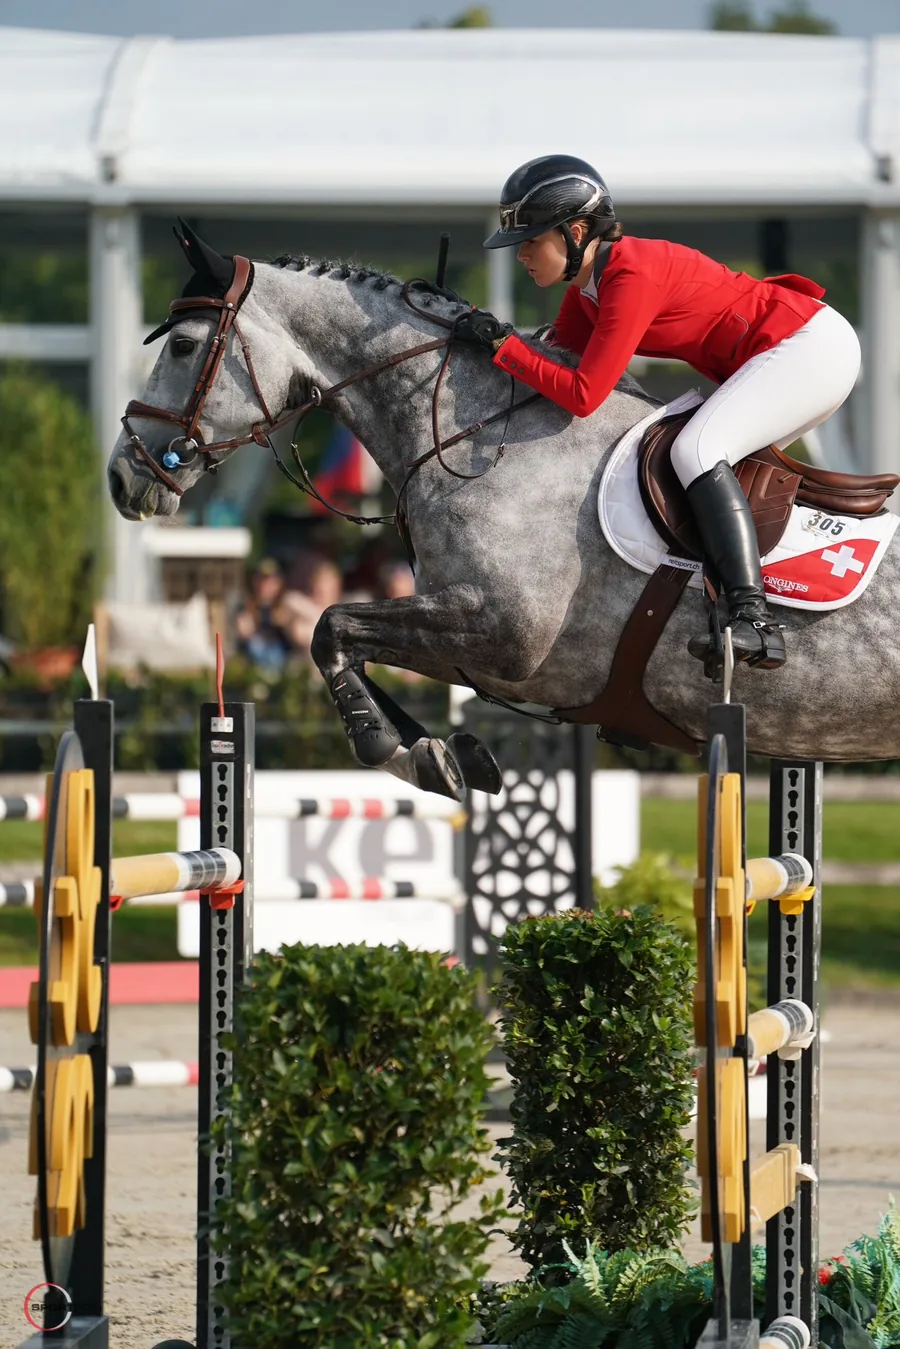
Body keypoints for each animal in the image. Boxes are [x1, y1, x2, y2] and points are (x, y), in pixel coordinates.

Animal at [107, 223, 900, 799]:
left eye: (184, 345)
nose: (122, 476)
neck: (484, 434)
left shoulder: (503, 635)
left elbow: (331, 627)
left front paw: (400, 749)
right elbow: (348, 642)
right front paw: (440, 753)